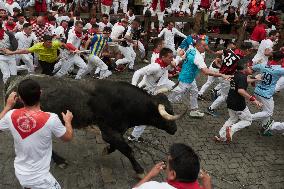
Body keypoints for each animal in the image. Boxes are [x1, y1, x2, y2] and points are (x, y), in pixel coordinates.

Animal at [4, 75, 184, 176]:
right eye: (168, 113)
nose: (175, 129)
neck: (124, 102)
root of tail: (14, 81)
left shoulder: (115, 131)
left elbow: (116, 146)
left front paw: (106, 150)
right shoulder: (109, 131)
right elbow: (128, 150)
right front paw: (139, 170)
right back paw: (60, 161)